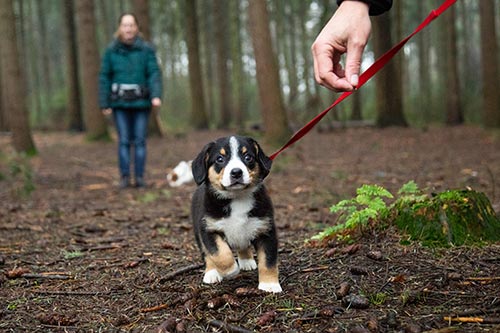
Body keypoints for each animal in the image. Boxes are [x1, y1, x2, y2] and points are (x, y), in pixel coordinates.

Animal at [190, 136, 282, 294]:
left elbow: (268, 260)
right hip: (198, 232)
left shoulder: (266, 229)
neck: (238, 197)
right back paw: (212, 273)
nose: (236, 172)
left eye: (248, 157)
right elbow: (219, 253)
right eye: (220, 159)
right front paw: (231, 270)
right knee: (206, 254)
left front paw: (269, 285)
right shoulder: (209, 229)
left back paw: (247, 261)